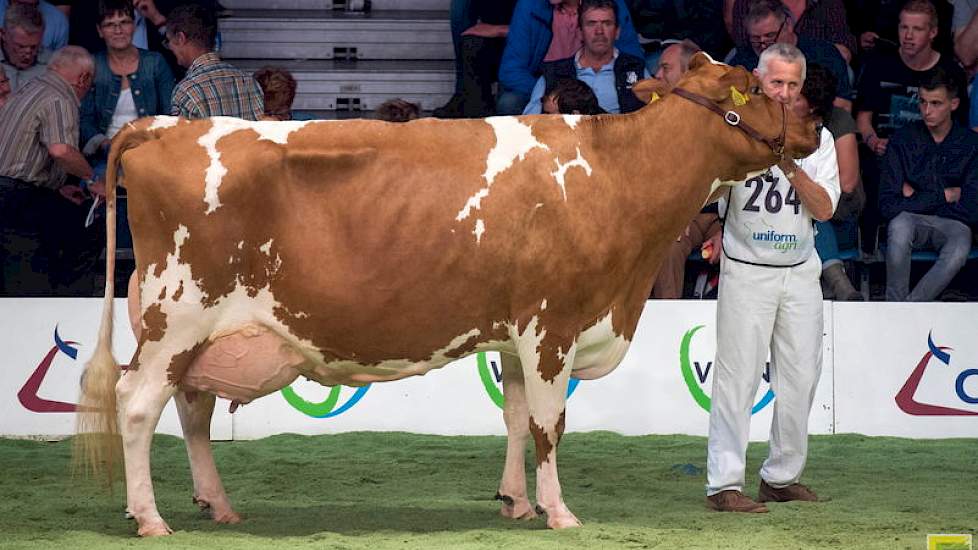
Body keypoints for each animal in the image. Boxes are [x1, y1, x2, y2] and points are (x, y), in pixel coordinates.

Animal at [74, 54, 816, 536]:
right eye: (757, 87)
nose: (810, 123)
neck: (613, 175)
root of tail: (163, 124)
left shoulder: (516, 333)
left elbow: (515, 418)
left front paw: (518, 503)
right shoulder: (551, 325)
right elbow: (549, 424)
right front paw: (561, 513)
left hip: (205, 333)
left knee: (192, 411)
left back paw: (217, 505)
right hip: (177, 316)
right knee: (138, 405)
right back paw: (150, 517)